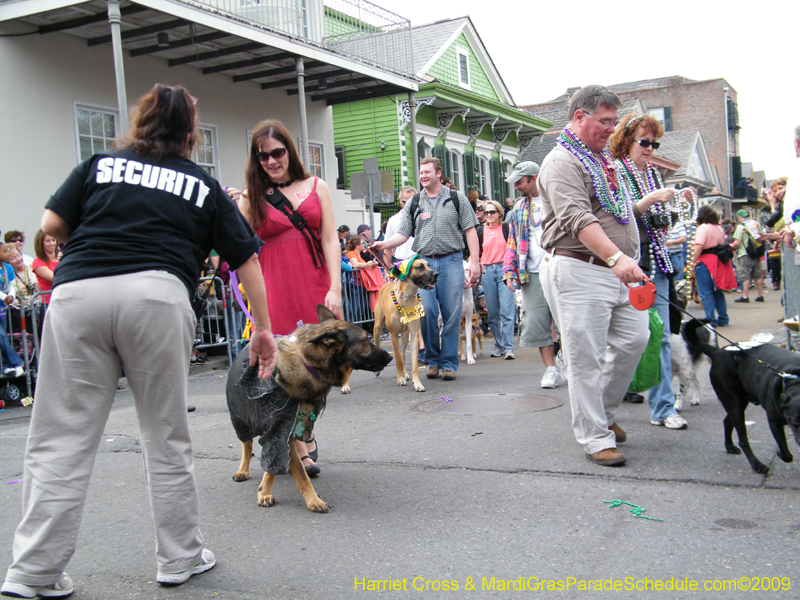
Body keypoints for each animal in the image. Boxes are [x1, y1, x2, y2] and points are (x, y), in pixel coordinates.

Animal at [227, 308, 392, 512]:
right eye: (367, 338)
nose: (391, 357)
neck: (308, 363)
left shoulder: (285, 432)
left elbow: (279, 463)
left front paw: (265, 489)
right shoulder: (279, 432)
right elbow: (301, 476)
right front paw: (312, 500)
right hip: (240, 420)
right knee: (247, 445)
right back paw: (243, 469)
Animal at [374, 258, 438, 394]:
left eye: (428, 265)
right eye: (420, 267)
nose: (437, 274)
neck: (406, 297)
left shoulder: (413, 334)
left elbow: (412, 362)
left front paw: (417, 383)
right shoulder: (392, 334)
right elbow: (397, 359)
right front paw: (400, 378)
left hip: (404, 335)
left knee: (403, 352)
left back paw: (405, 373)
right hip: (377, 327)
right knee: (379, 343)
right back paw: (379, 370)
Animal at [680, 318, 800, 474]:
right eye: (795, 420)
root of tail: (717, 351)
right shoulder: (774, 421)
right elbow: (786, 453)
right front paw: (780, 453)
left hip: (739, 403)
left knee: (727, 421)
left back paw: (730, 447)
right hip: (734, 402)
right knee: (743, 440)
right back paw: (757, 465)